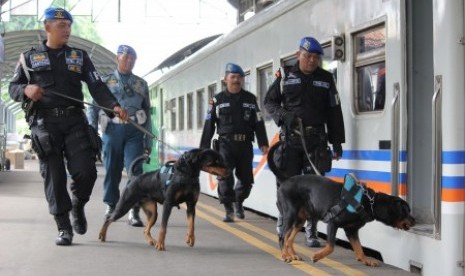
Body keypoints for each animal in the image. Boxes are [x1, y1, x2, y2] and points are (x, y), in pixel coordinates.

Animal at [98, 149, 228, 250]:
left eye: (221, 160)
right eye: (215, 161)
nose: (228, 171)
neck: (186, 174)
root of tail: (134, 178)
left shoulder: (191, 205)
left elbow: (191, 224)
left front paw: (190, 238)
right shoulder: (168, 204)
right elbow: (163, 227)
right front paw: (161, 244)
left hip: (152, 212)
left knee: (146, 229)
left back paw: (152, 241)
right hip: (124, 204)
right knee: (109, 219)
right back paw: (102, 235)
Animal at [266, 141, 416, 266]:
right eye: (406, 211)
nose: (414, 220)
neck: (368, 202)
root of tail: (286, 180)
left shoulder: (352, 231)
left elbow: (359, 247)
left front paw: (365, 259)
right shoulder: (333, 223)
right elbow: (331, 246)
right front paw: (317, 256)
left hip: (300, 219)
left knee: (289, 238)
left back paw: (292, 255)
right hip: (290, 214)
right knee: (282, 236)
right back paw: (285, 256)